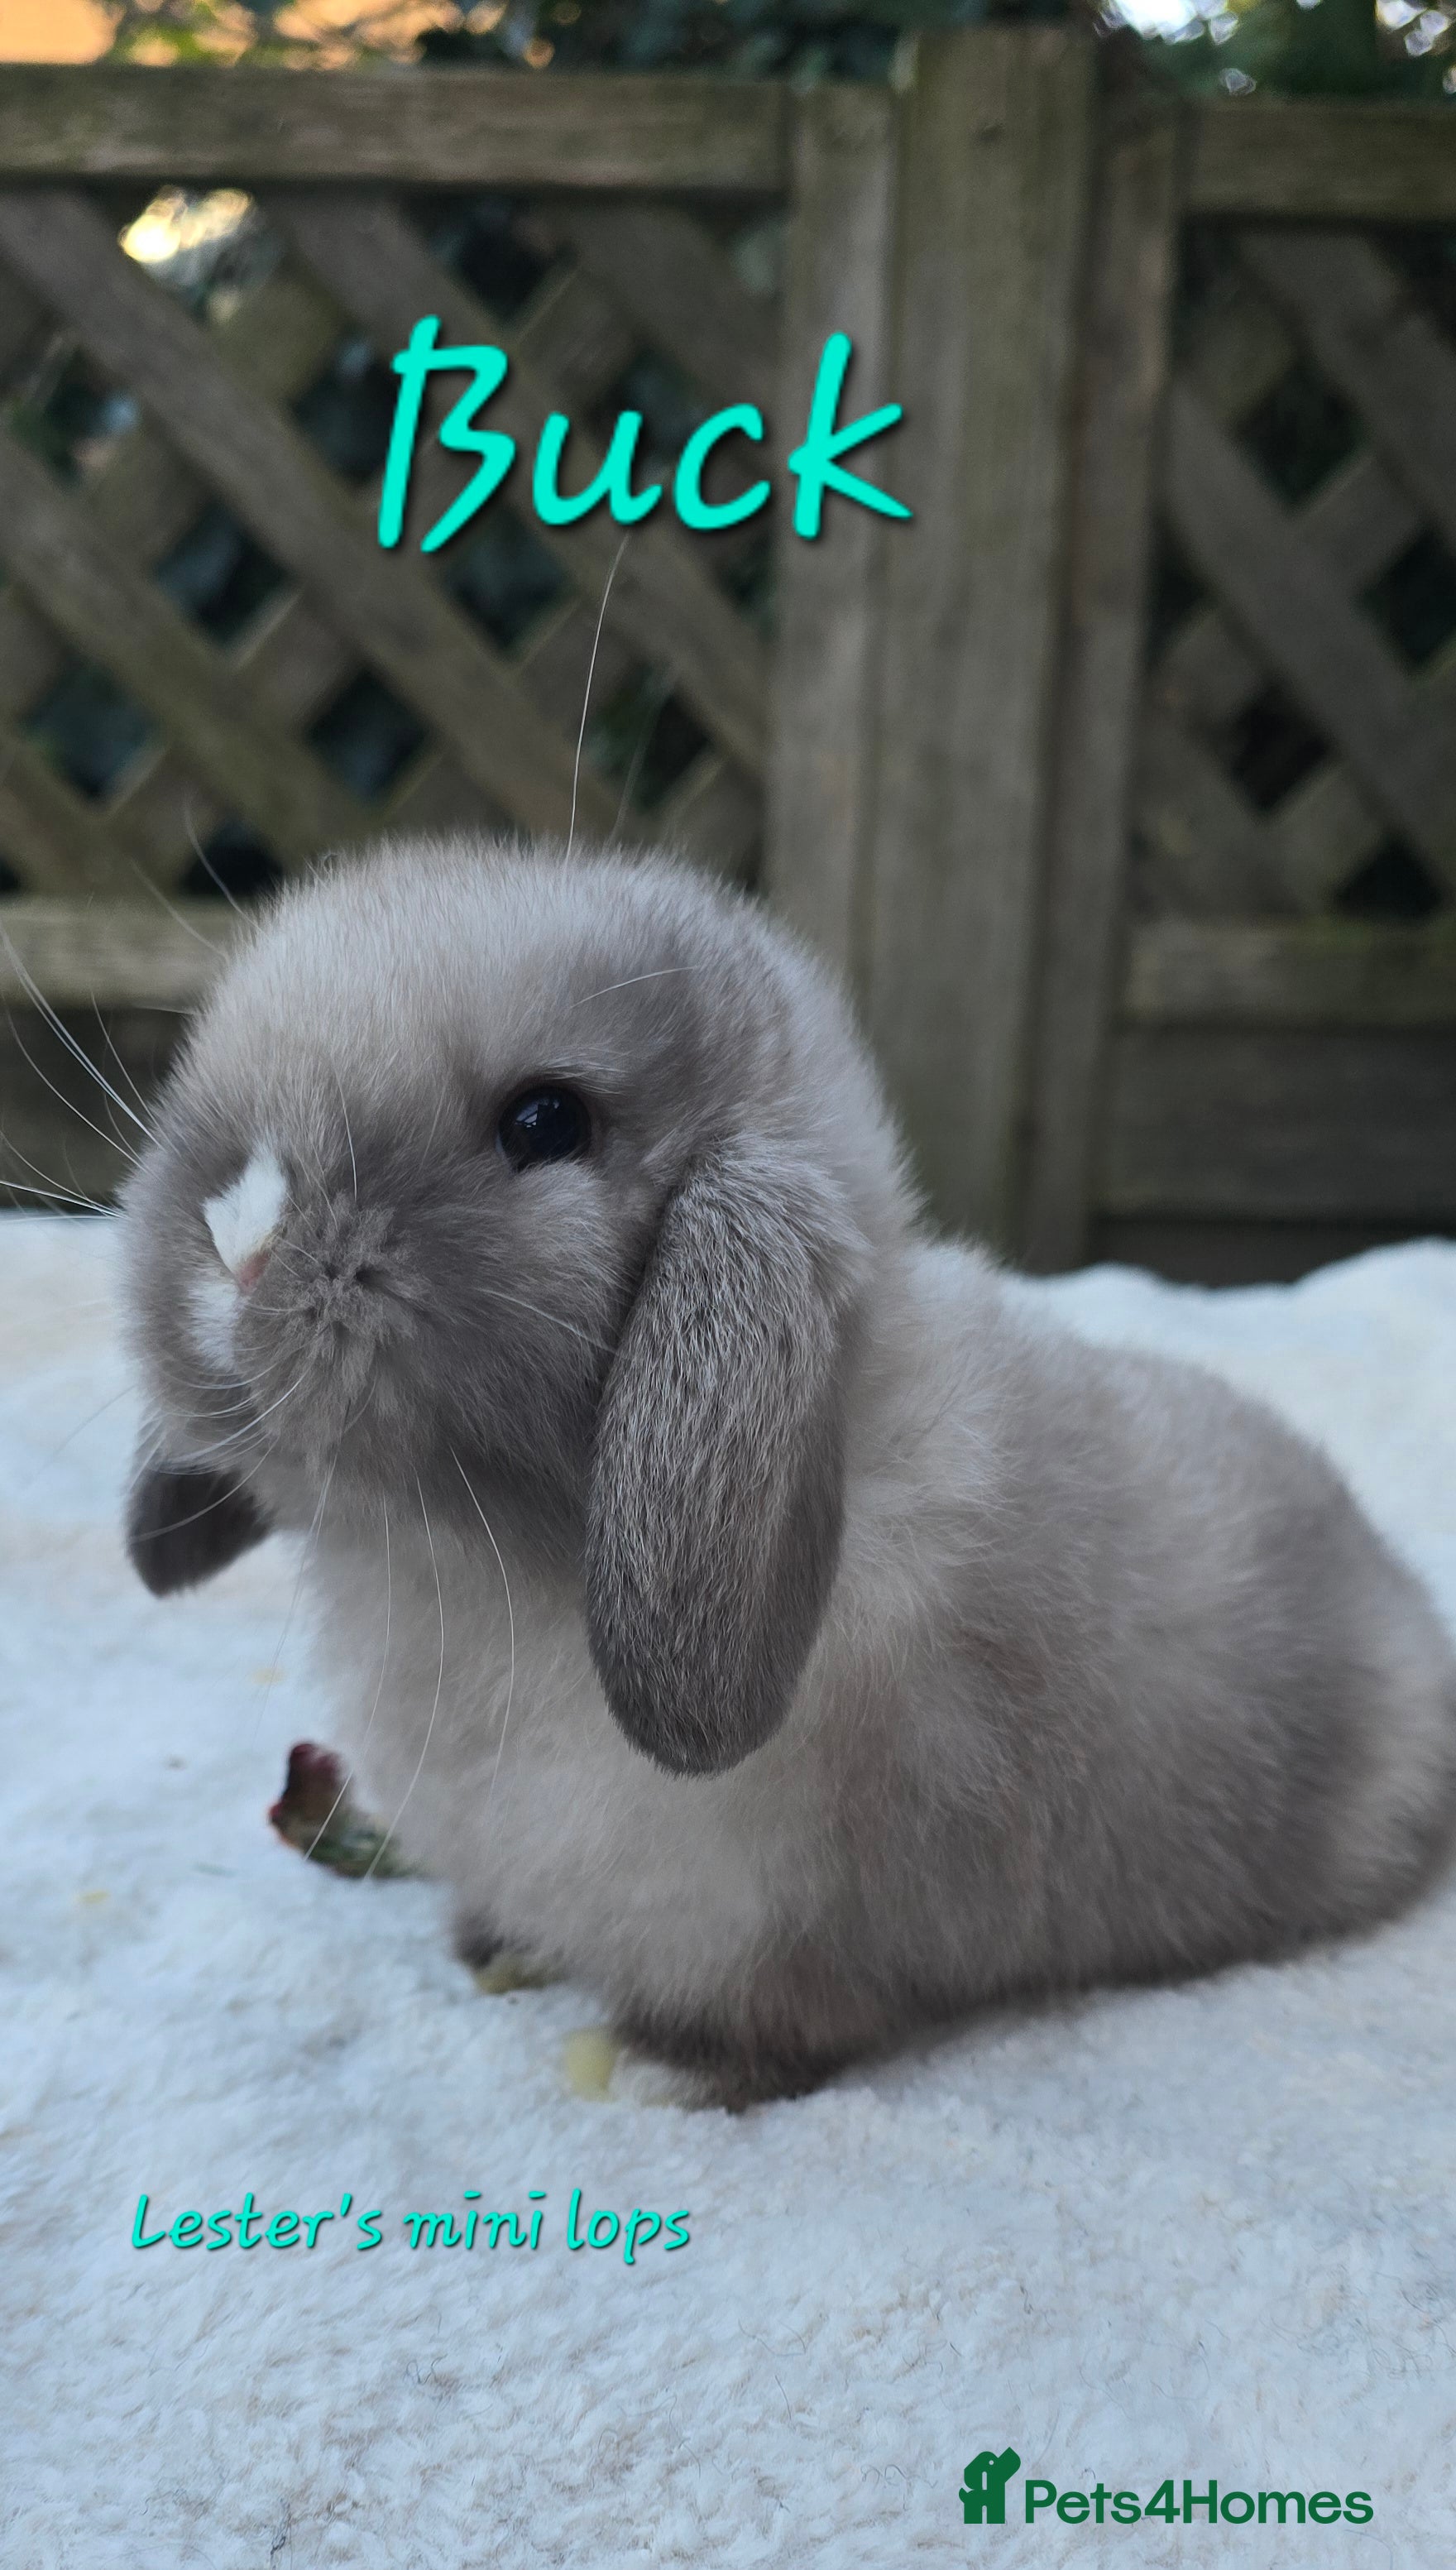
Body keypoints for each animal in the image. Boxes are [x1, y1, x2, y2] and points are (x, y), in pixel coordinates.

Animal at [119, 836, 1456, 2105]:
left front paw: (659, 2070)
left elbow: (774, 2027)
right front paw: (498, 1946)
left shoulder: (761, 1931)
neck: (460, 1559)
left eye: (545, 1123)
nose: (237, 1237)